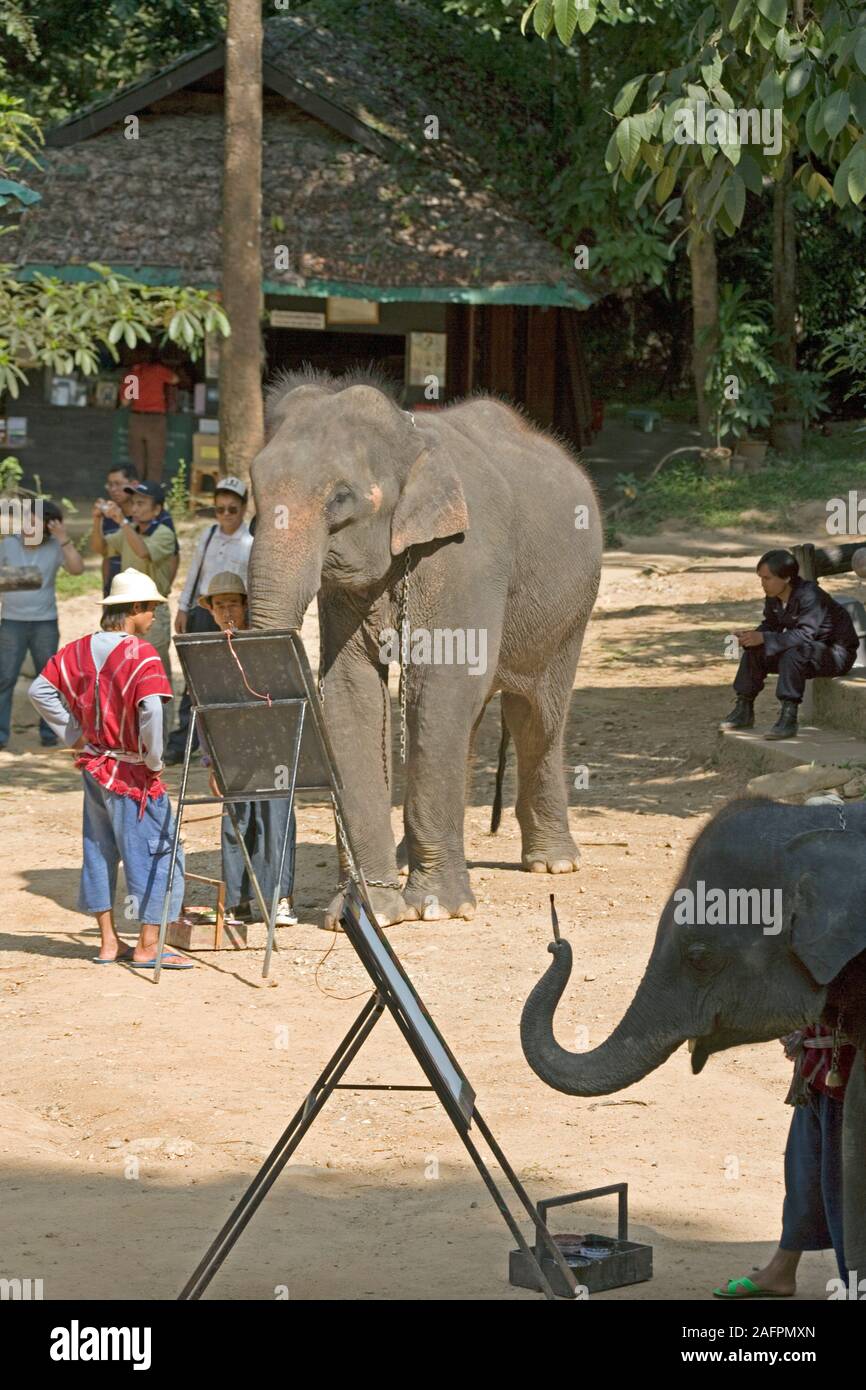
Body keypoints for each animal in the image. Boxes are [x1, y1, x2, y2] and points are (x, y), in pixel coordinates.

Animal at [247, 375, 603, 928]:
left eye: (341, 498)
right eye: (253, 490)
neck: (409, 433)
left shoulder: (464, 554)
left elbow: (438, 688)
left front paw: (437, 909)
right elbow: (352, 693)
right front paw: (372, 911)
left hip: (572, 609)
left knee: (536, 715)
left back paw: (554, 864)